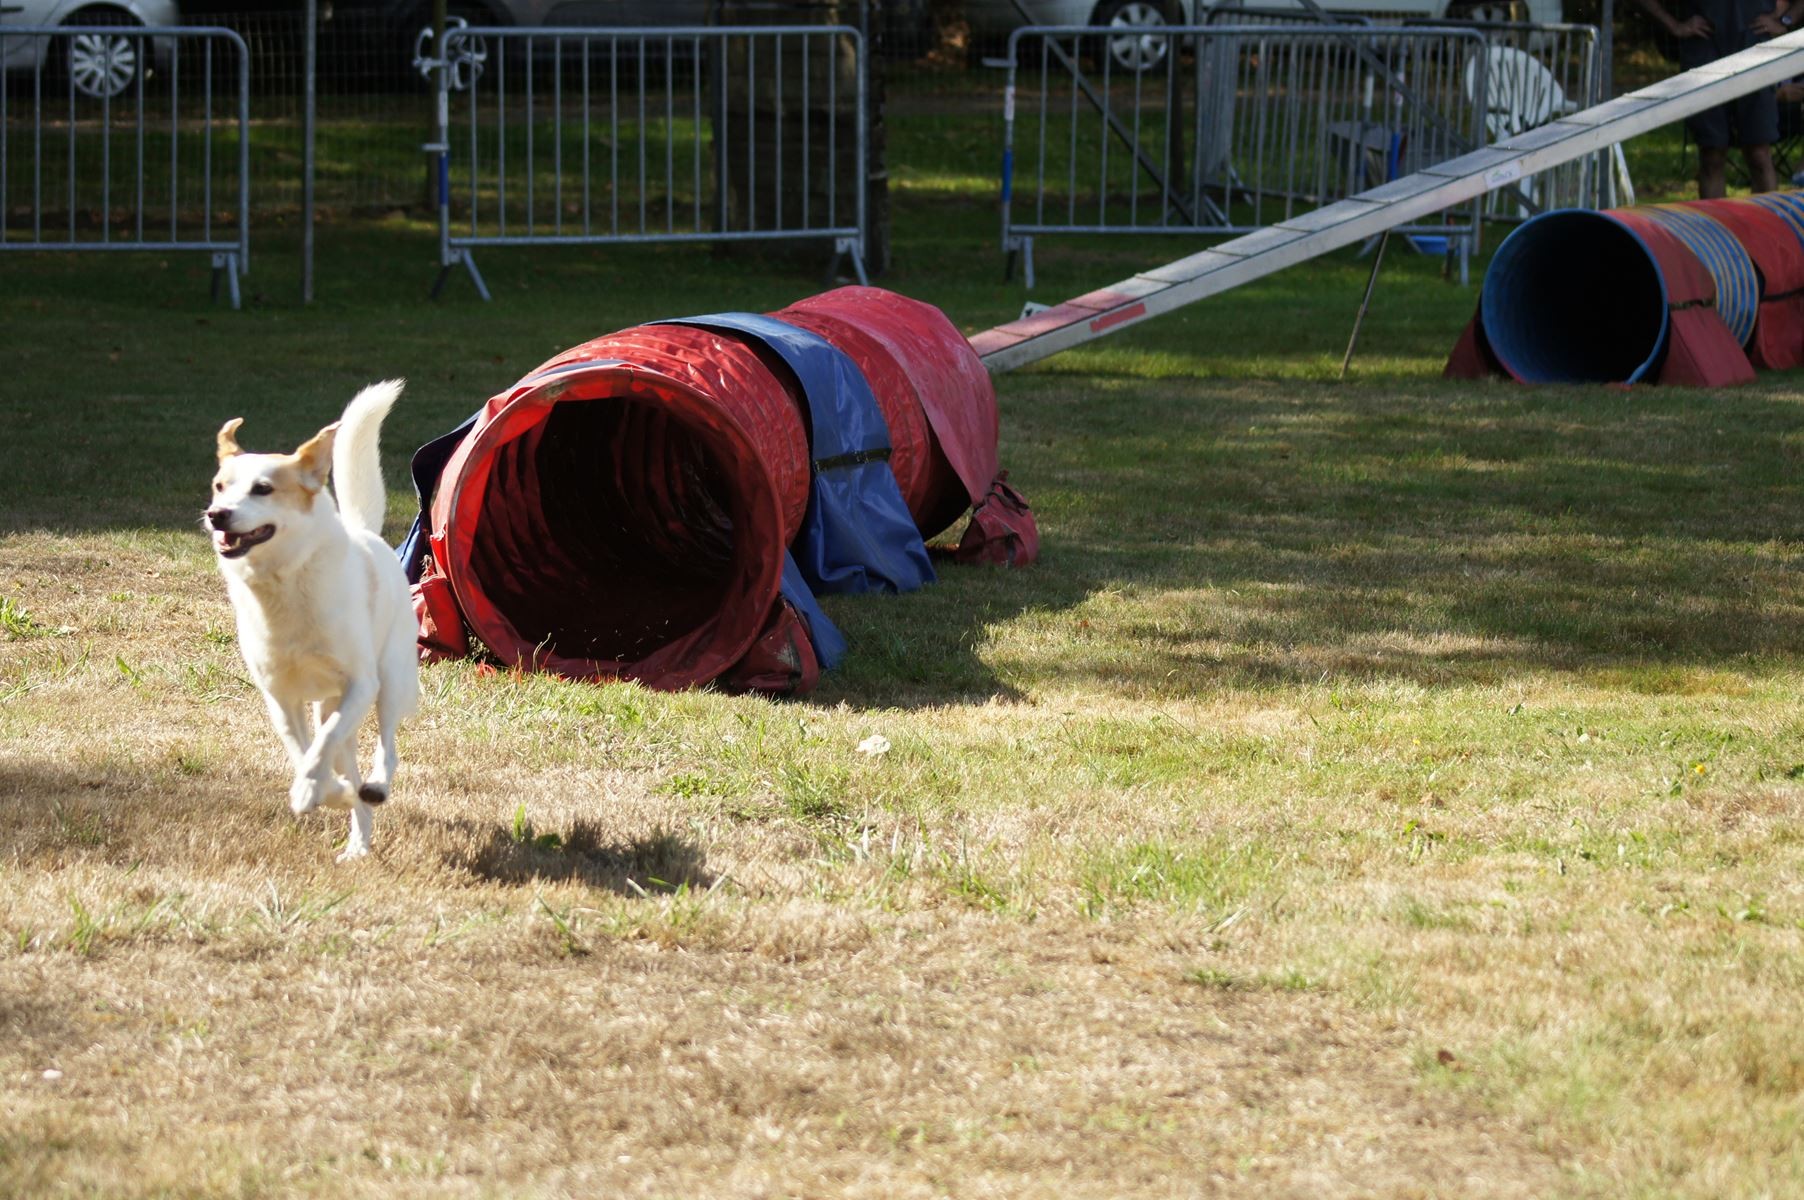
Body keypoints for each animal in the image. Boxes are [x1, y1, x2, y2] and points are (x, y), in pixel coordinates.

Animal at [206, 378, 416, 855]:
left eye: (263, 489)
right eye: (219, 486)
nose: (217, 515)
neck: (284, 583)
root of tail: (368, 535)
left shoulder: (360, 683)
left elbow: (323, 744)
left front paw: (311, 790)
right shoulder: (281, 697)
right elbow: (303, 750)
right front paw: (328, 792)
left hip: (391, 680)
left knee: (386, 748)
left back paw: (376, 787)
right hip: (329, 702)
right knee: (346, 759)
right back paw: (357, 841)